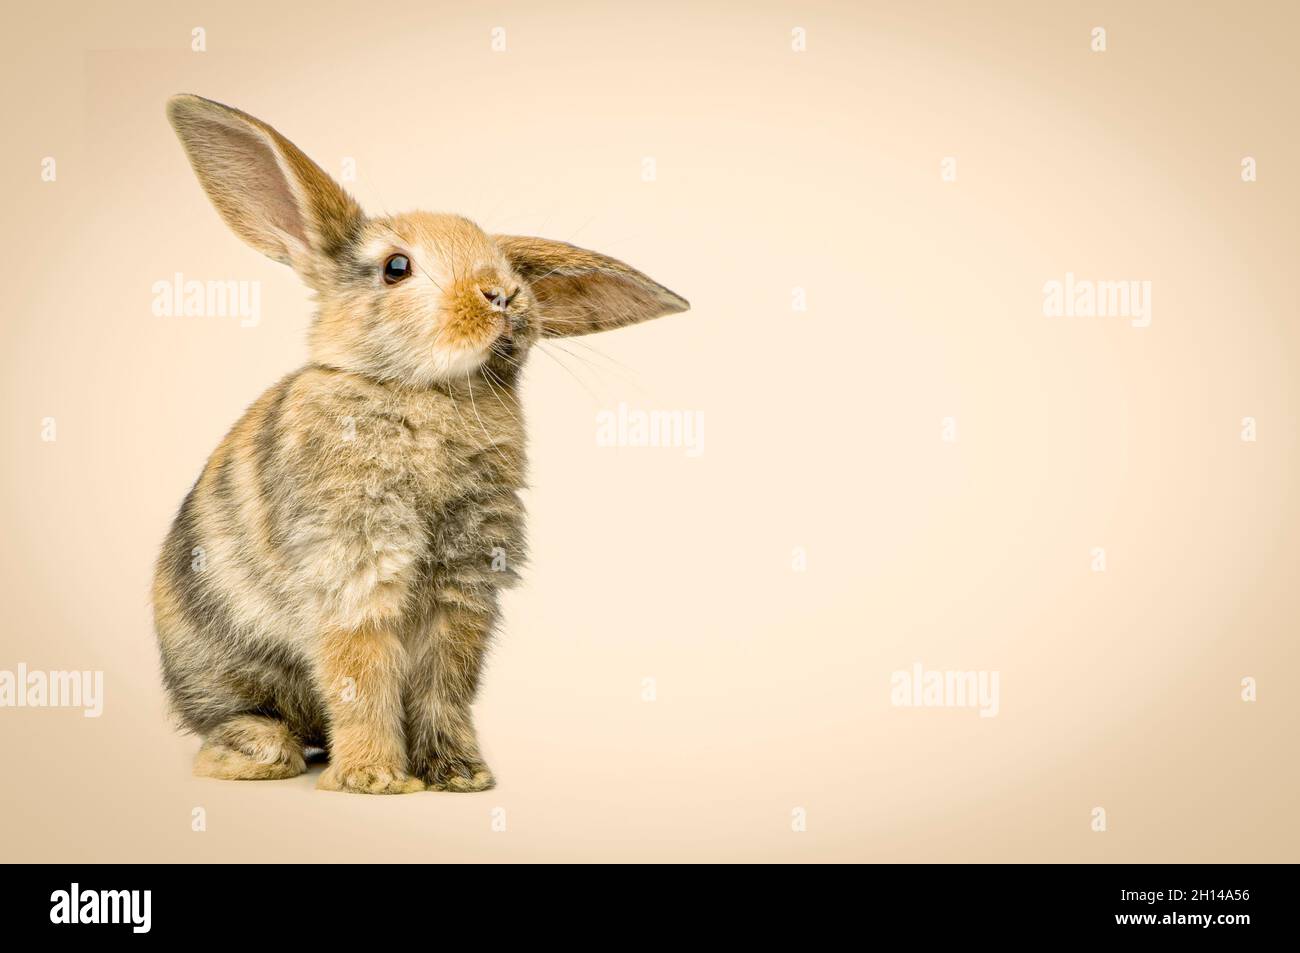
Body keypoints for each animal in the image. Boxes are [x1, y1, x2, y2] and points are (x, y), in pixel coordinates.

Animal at [153, 94, 688, 794]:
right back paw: (259, 755)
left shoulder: (463, 588)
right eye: (396, 267)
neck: (427, 392)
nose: (504, 295)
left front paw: (460, 775)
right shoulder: (356, 571)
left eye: (507, 265)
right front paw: (374, 780)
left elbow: (447, 685)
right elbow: (361, 675)